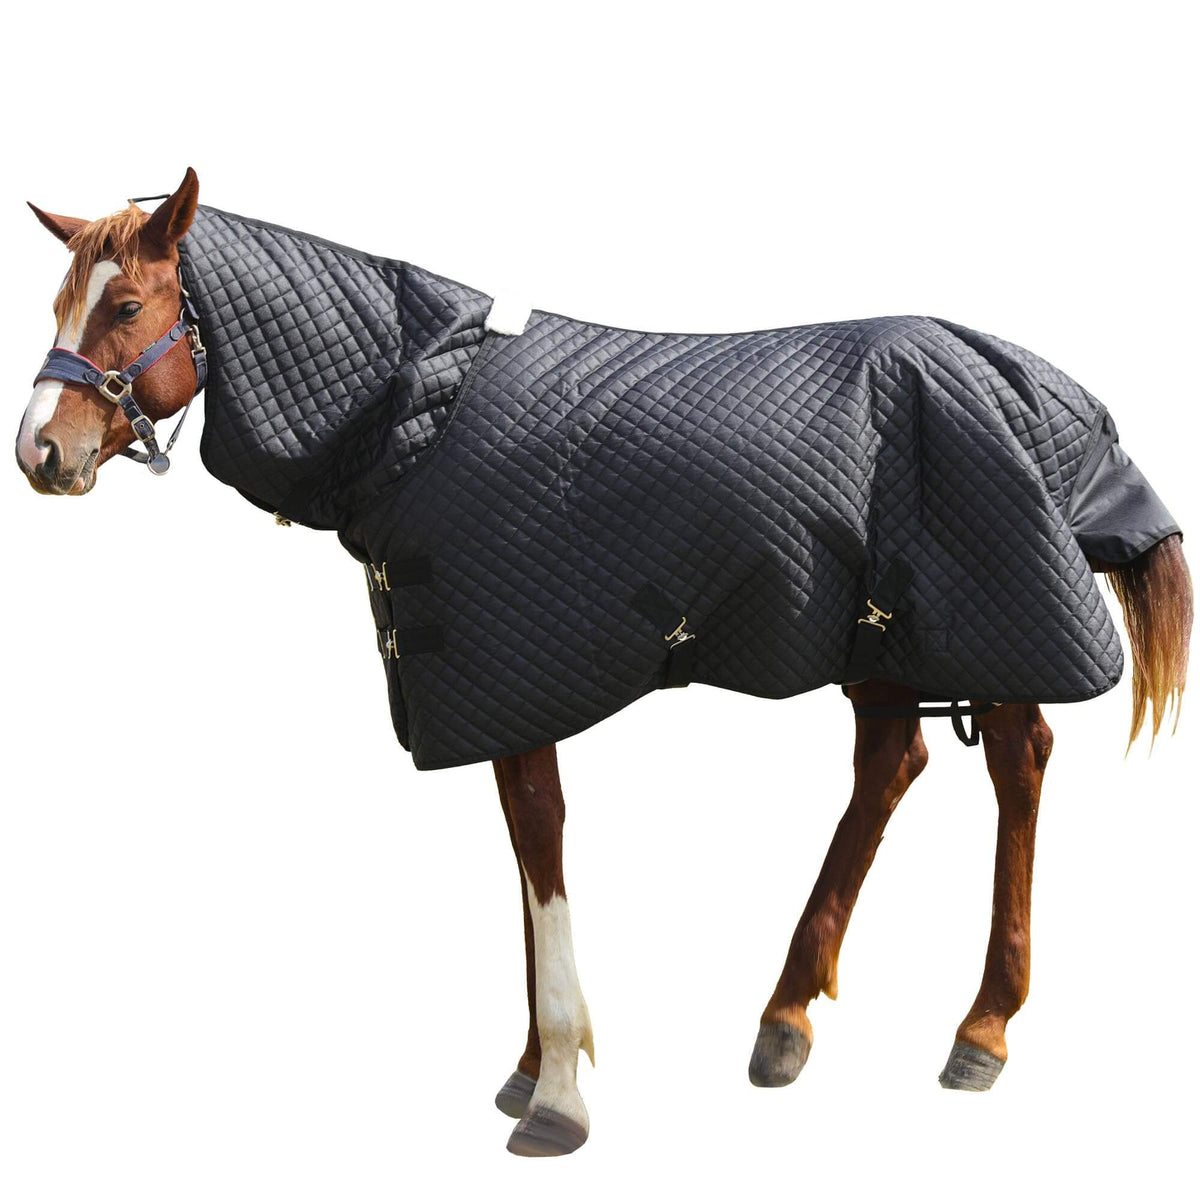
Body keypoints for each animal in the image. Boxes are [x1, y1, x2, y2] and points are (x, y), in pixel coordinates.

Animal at [16, 169, 1192, 1156]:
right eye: (61, 307)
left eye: (127, 309)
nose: (40, 452)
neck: (420, 409)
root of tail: (1041, 386)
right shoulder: (489, 682)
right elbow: (518, 847)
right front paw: (529, 1062)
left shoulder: (511, 674)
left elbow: (541, 842)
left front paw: (556, 1094)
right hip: (884, 633)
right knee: (894, 764)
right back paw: (787, 1017)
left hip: (991, 620)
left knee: (1017, 762)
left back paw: (982, 1030)